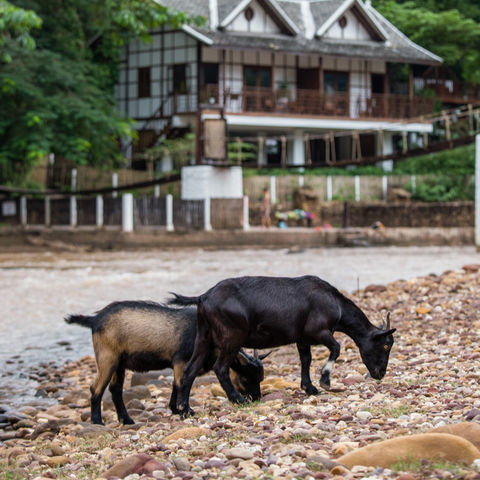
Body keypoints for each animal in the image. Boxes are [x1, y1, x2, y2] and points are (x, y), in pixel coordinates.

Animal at [63, 302, 266, 422]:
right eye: (246, 378)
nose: (256, 398)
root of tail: (94, 320)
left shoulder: (178, 364)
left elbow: (176, 384)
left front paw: (175, 409)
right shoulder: (181, 359)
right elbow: (183, 382)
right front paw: (185, 411)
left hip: (119, 363)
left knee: (115, 389)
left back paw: (126, 420)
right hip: (107, 357)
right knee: (96, 388)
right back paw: (97, 421)